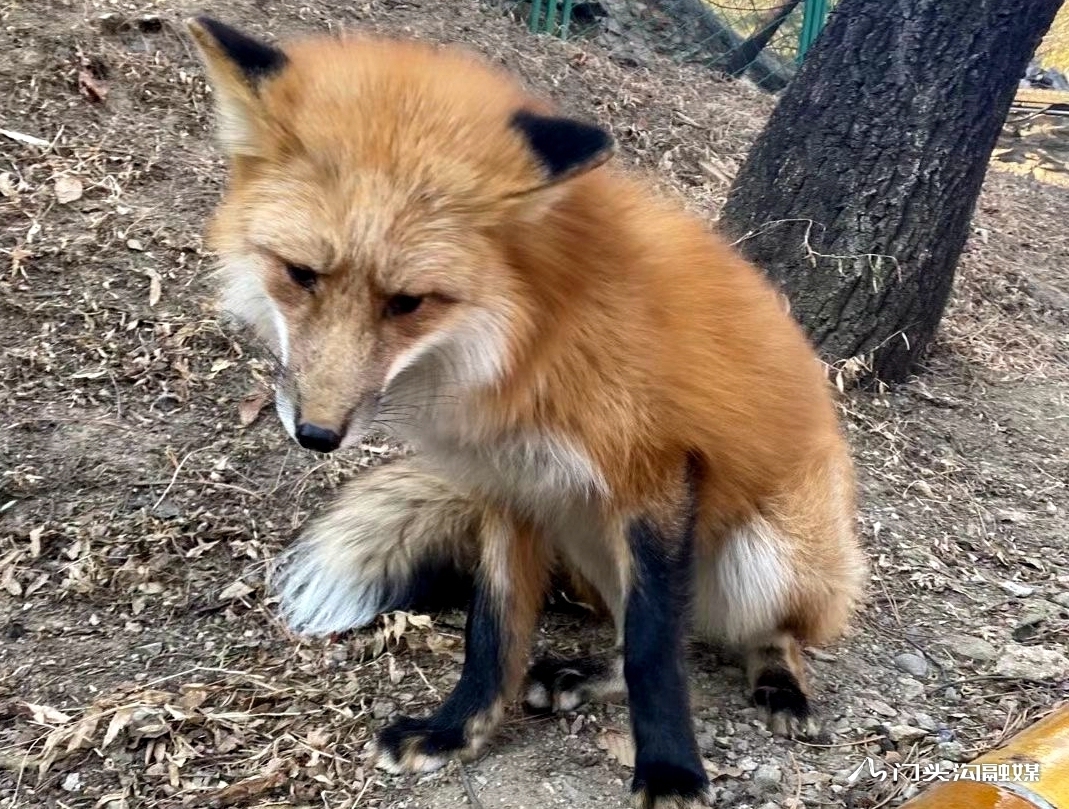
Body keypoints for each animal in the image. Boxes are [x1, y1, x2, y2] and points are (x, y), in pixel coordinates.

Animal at [188, 15, 863, 803]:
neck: (527, 343)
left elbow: (655, 649)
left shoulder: (656, 472)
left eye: (407, 302)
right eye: (300, 275)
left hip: (768, 551)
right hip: (584, 527)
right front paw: (457, 730)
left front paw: (670, 767)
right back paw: (579, 674)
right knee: (643, 632)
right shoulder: (511, 486)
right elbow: (497, 631)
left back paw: (779, 679)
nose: (317, 434)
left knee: (754, 631)